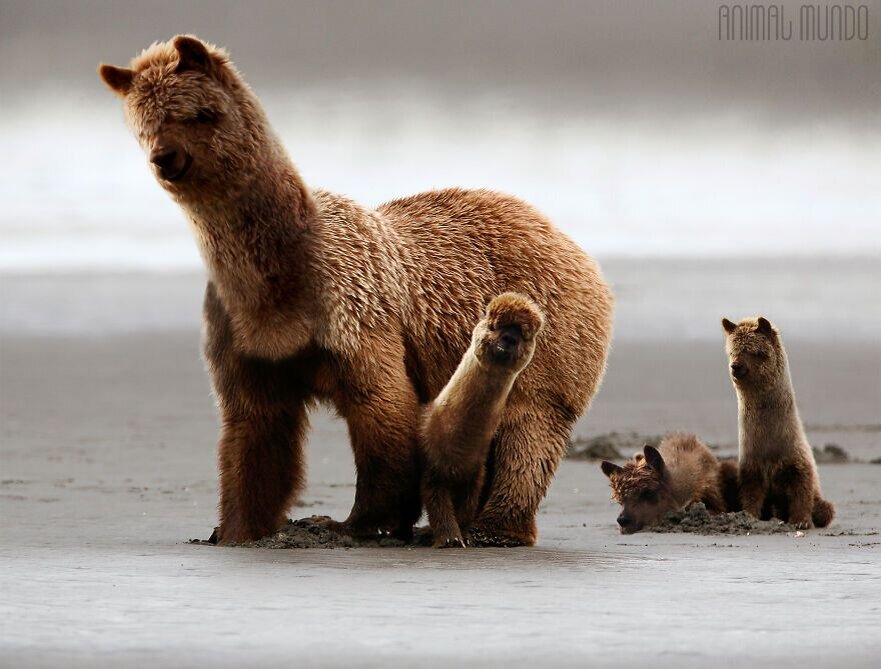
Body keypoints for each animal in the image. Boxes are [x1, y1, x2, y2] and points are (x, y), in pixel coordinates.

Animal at [98, 35, 612, 544]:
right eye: (143, 124)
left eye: (197, 113)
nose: (165, 158)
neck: (279, 282)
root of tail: (567, 239)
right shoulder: (244, 333)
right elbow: (256, 431)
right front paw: (238, 528)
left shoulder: (354, 310)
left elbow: (383, 413)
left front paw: (357, 522)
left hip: (551, 343)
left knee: (528, 432)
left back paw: (495, 528)